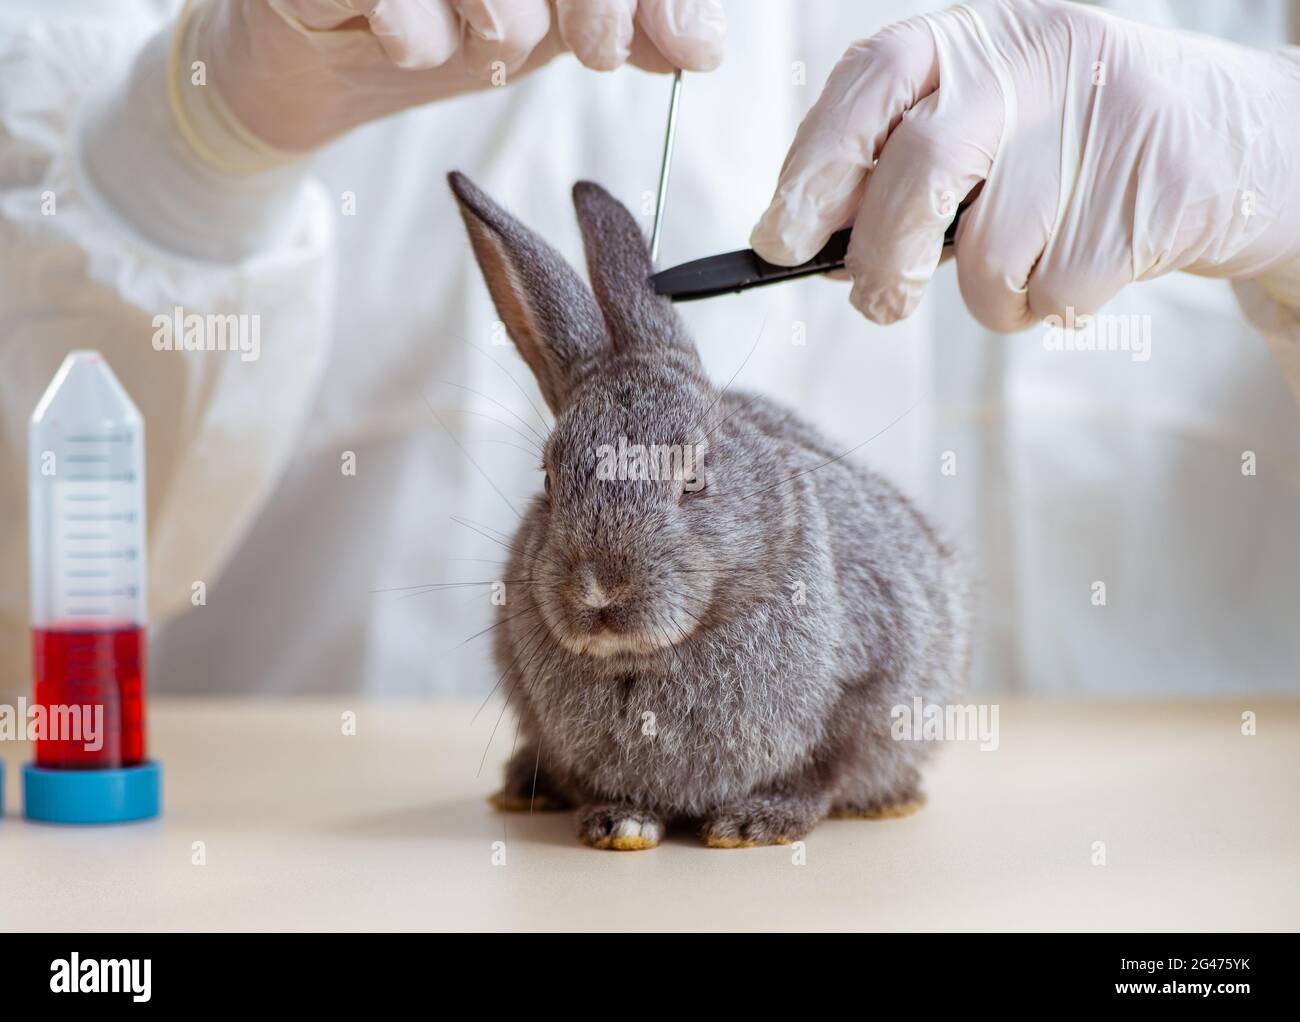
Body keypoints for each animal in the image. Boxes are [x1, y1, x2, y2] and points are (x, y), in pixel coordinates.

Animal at [448, 170, 971, 850]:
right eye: (549, 477)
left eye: (695, 477)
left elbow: (827, 767)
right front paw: (620, 823)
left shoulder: (879, 673)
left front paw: (754, 823)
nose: (598, 589)